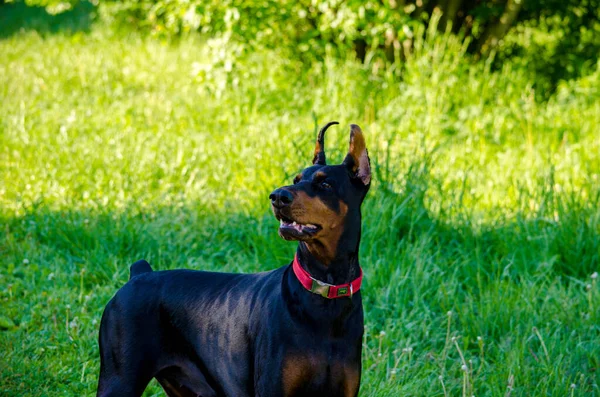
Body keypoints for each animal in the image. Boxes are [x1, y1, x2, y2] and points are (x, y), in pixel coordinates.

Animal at [97, 122, 370, 394]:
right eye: (296, 179)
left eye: (325, 185)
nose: (277, 196)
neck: (324, 290)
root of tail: (139, 273)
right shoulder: (272, 389)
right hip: (119, 379)